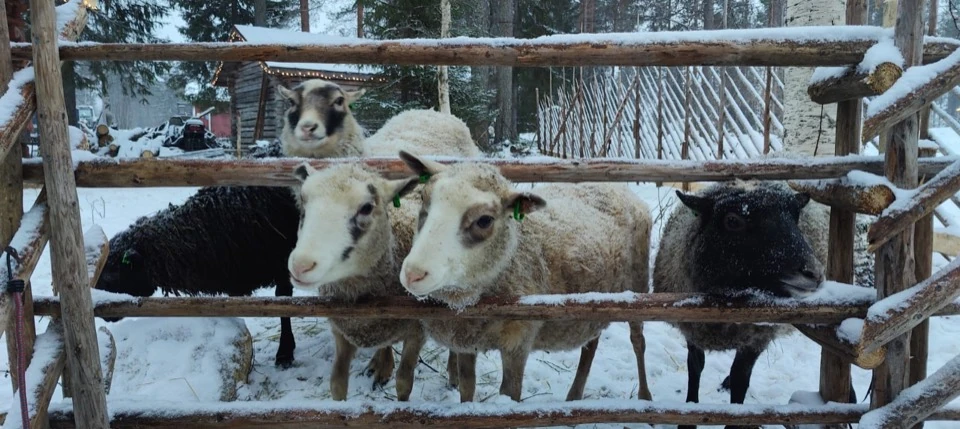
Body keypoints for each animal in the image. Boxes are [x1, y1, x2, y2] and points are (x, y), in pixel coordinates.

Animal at [396, 150, 653, 403]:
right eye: (423, 199)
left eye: (484, 220)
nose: (413, 273)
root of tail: (616, 187)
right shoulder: (466, 338)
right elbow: (468, 388)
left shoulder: (518, 338)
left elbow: (510, 394)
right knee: (591, 342)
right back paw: (574, 395)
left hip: (638, 287)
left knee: (638, 341)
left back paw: (644, 395)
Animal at [653, 180, 832, 429]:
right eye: (732, 221)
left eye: (795, 217)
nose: (814, 273)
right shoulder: (693, 328)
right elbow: (695, 366)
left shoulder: (756, 336)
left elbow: (741, 379)